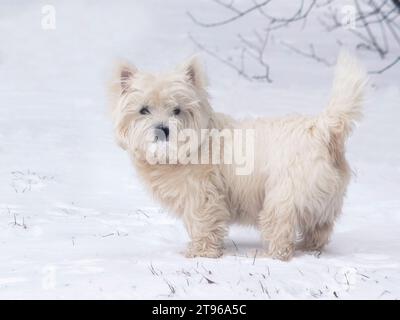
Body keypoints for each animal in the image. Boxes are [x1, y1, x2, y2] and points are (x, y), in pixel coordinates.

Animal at [108, 50, 366, 260]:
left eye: (177, 110)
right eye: (143, 110)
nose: (162, 129)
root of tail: (322, 129)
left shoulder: (203, 195)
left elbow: (203, 224)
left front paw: (201, 253)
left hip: (282, 197)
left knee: (280, 233)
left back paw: (268, 254)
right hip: (322, 201)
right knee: (319, 230)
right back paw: (307, 248)